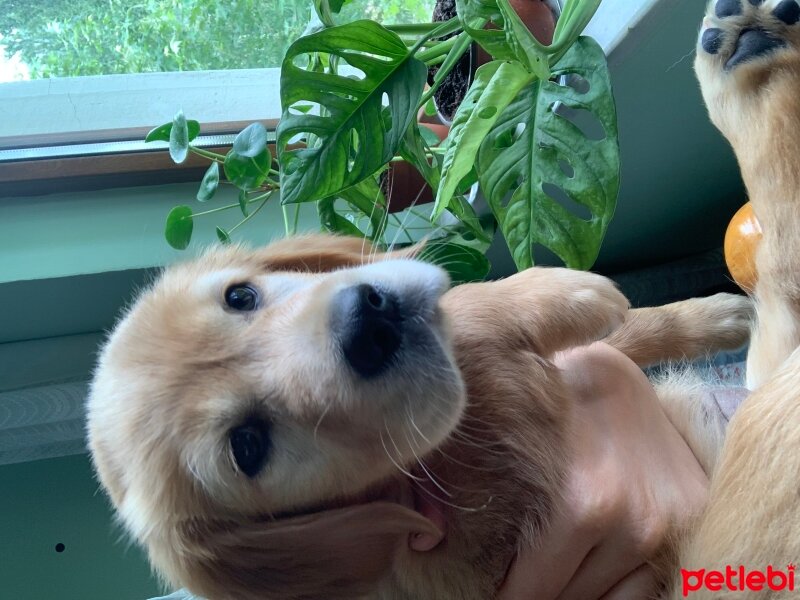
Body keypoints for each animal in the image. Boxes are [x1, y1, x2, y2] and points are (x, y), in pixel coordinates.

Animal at [87, 232, 752, 596]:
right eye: (247, 447)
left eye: (240, 295)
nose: (368, 323)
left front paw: (713, 315)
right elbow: (476, 319)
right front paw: (546, 294)